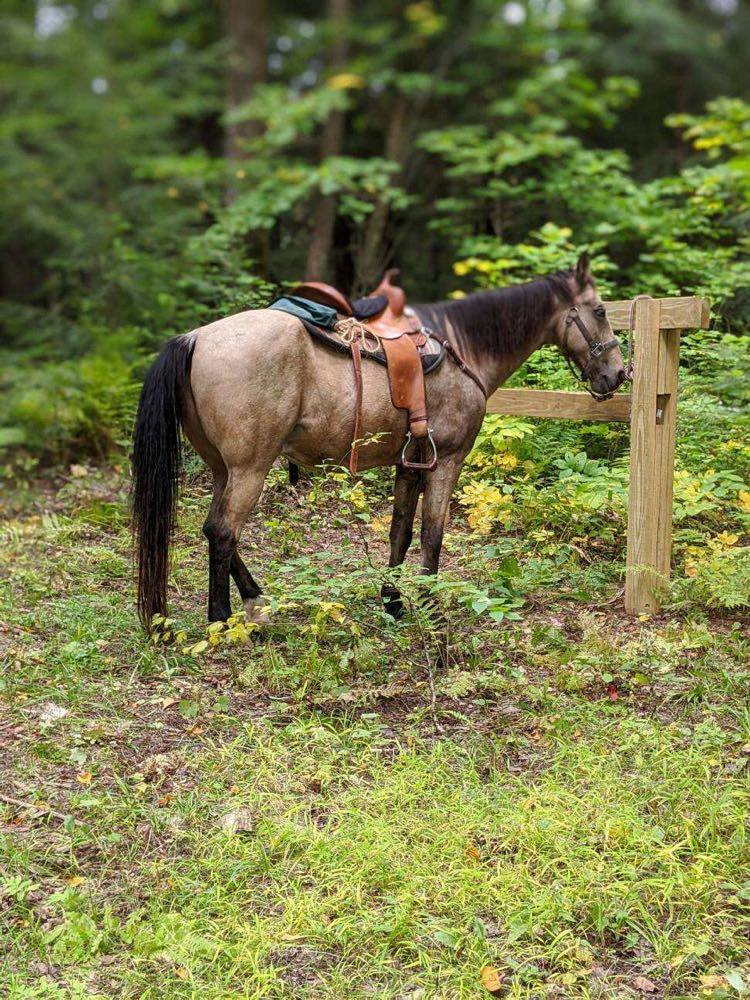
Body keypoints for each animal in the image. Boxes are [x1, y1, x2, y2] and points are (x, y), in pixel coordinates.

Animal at [131, 253, 626, 629]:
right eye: (600, 311)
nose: (618, 374)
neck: (464, 350)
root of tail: (194, 338)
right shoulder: (448, 461)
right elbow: (432, 537)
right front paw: (430, 608)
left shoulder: (411, 462)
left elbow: (400, 533)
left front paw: (393, 601)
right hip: (250, 467)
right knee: (222, 532)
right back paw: (222, 620)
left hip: (223, 468)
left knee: (214, 528)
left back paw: (255, 602)